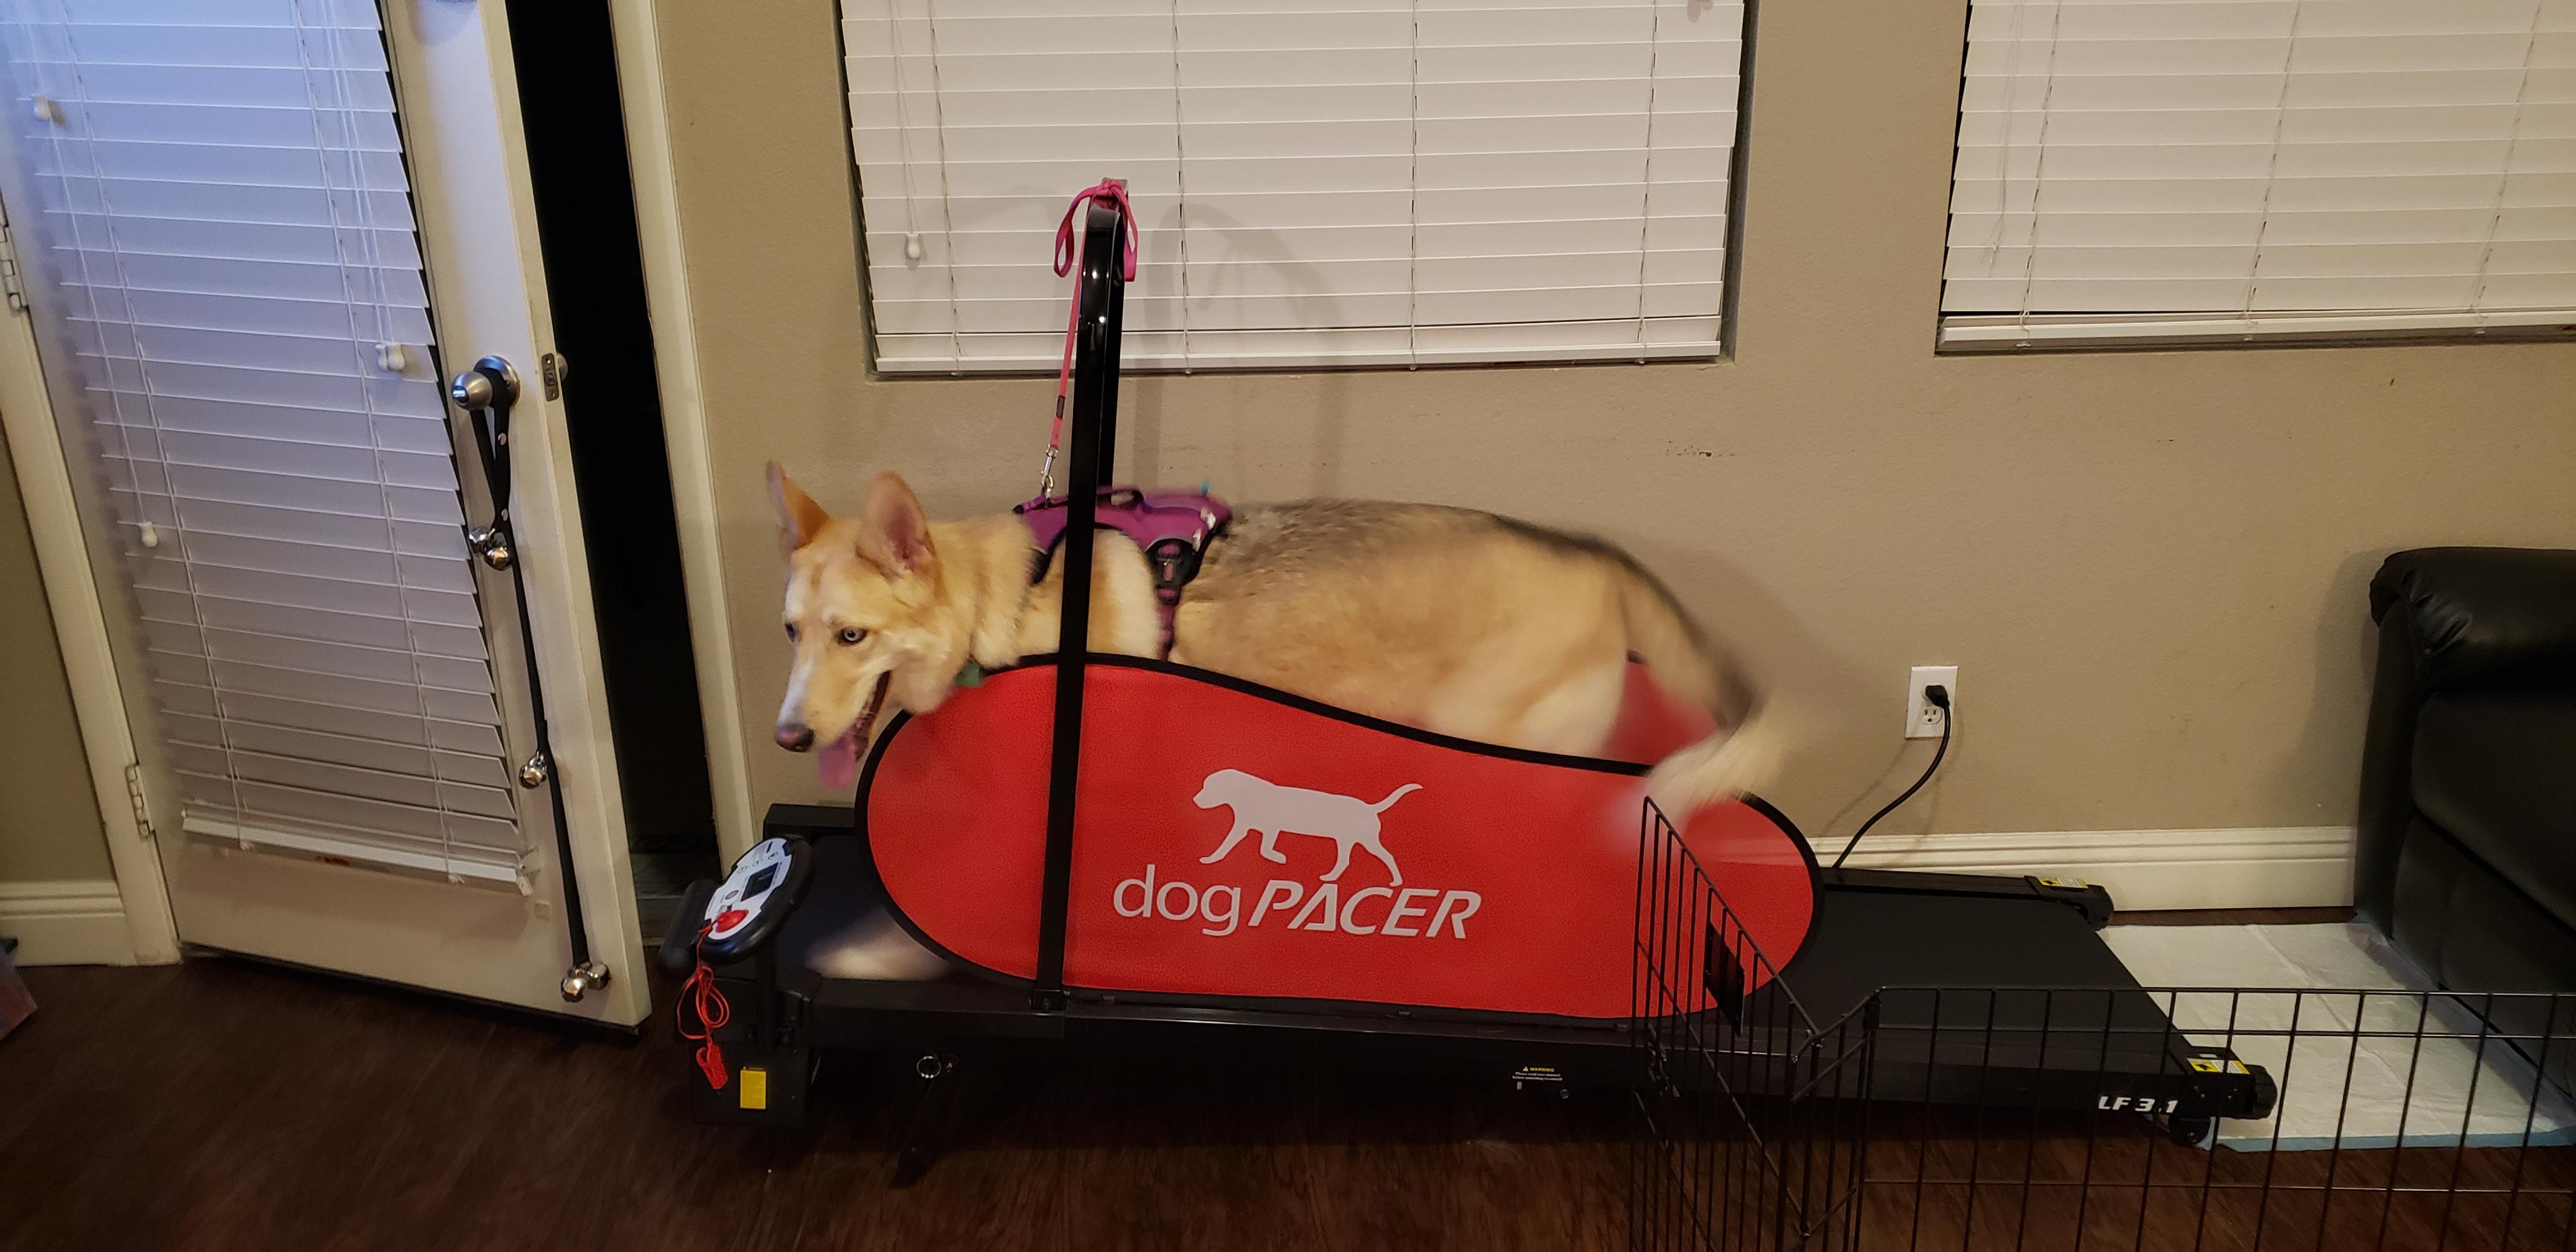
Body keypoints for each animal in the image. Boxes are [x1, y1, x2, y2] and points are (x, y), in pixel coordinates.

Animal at [1194, 769, 1416, 884]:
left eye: (1209, 787)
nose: (1195, 800)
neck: (1244, 793)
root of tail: (1370, 807)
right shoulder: (1259, 829)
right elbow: (1250, 847)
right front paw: (1211, 859)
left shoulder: (1265, 828)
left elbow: (1260, 849)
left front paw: (1279, 858)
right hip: (1346, 841)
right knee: (1344, 862)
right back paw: (1330, 877)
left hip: (1366, 841)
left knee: (1388, 856)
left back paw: (1397, 881)